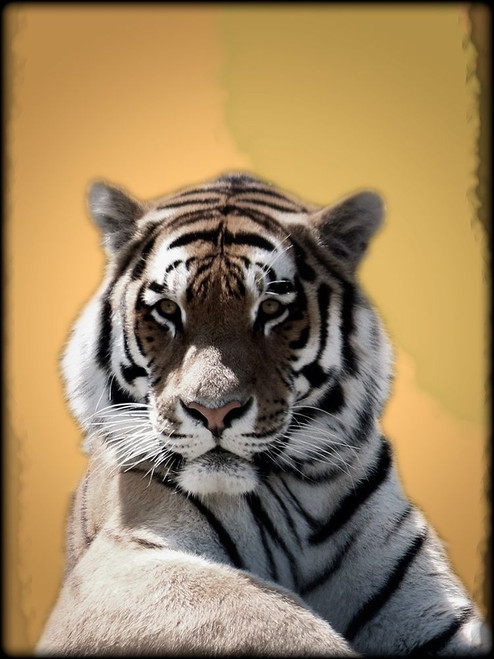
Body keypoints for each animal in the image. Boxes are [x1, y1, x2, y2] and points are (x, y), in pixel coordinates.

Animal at [37, 173, 489, 656]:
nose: (214, 411)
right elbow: (272, 622)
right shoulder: (123, 565)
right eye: (168, 310)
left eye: (271, 308)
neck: (302, 501)